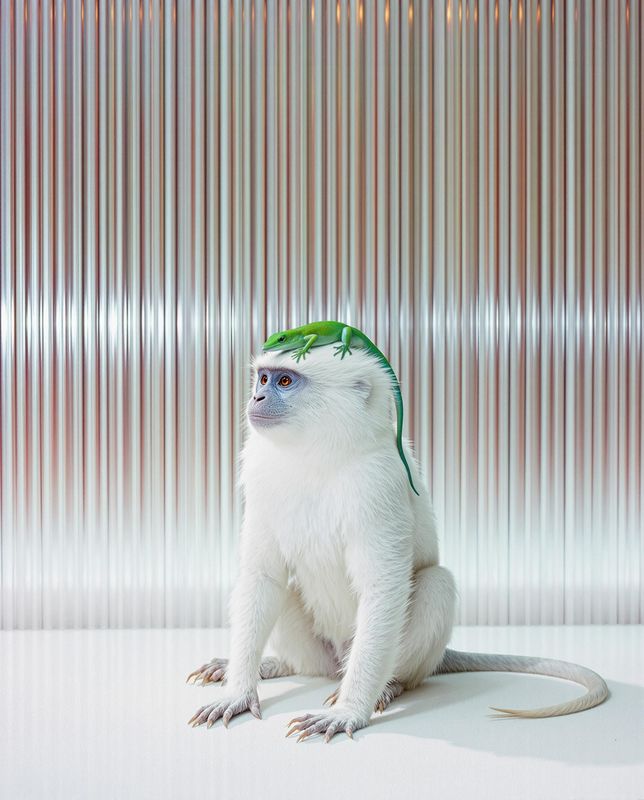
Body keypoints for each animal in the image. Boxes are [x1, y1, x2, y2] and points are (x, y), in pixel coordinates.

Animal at [187, 347, 608, 742]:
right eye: (263, 378)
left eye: (285, 381)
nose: (256, 398)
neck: (316, 454)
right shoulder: (262, 477)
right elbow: (263, 577)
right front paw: (238, 693)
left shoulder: (378, 483)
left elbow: (383, 589)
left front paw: (349, 712)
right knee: (288, 600)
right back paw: (278, 666)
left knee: (437, 584)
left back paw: (389, 685)